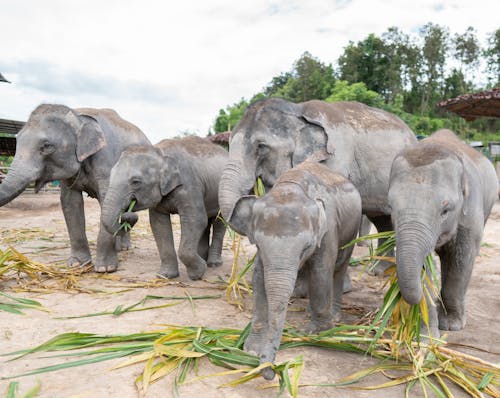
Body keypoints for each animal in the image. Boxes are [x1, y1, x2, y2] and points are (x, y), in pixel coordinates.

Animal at [0, 104, 152, 272]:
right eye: (17, 141)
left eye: (47, 146)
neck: (78, 117)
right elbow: (70, 203)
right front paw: (77, 265)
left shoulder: (106, 161)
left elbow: (105, 201)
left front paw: (105, 269)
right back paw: (119, 248)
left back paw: (124, 248)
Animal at [100, 136, 229, 280]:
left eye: (136, 182)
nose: (127, 214)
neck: (160, 152)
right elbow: (159, 225)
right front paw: (165, 276)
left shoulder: (189, 185)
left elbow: (195, 220)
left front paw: (197, 274)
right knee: (206, 224)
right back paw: (203, 258)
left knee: (218, 224)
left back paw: (213, 264)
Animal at [229, 159, 362, 380]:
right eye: (258, 243)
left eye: (306, 246)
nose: (272, 372)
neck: (290, 188)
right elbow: (259, 279)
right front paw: (252, 350)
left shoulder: (328, 229)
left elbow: (321, 272)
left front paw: (317, 334)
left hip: (353, 228)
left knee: (339, 266)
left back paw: (334, 317)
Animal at [388, 129, 498, 334]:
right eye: (390, 207)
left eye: (445, 210)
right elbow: (426, 266)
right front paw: (427, 332)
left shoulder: (470, 214)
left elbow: (461, 259)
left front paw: (451, 325)